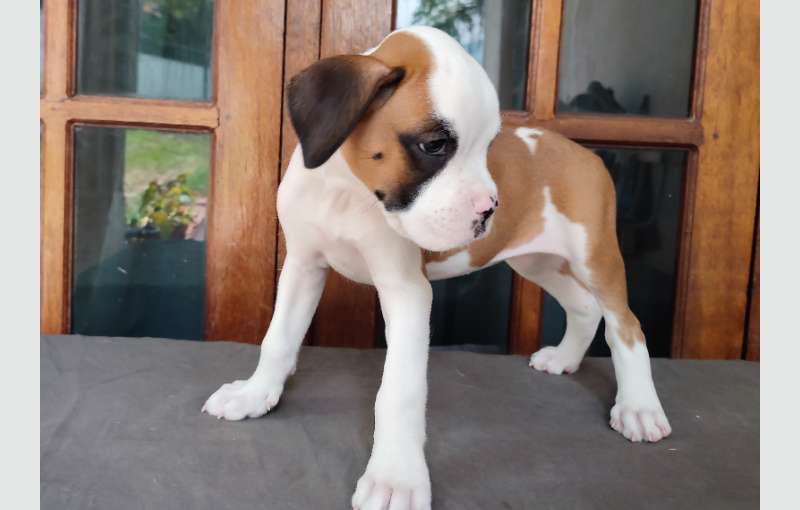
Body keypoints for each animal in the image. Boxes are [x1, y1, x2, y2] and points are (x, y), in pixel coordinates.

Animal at [203, 26, 672, 510]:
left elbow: (399, 391)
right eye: (434, 145)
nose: (490, 209)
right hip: (536, 261)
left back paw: (639, 407)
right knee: (584, 307)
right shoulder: (302, 267)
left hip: (595, 257)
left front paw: (395, 477)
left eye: (488, 147)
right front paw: (255, 394)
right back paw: (565, 357)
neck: (347, 192)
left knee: (625, 326)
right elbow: (278, 339)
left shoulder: (407, 293)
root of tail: (588, 155)